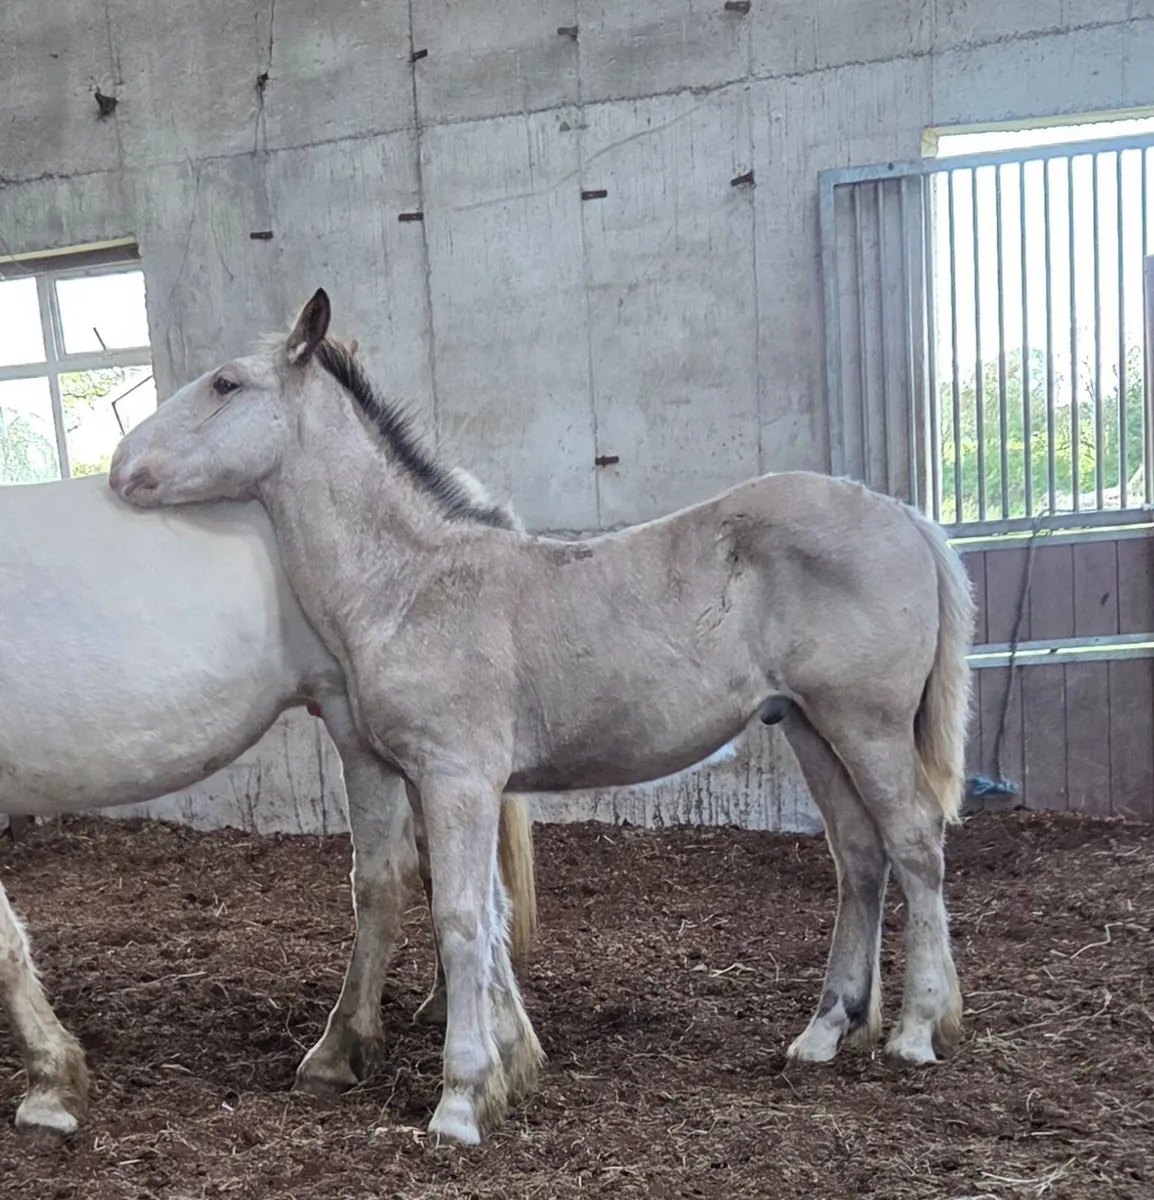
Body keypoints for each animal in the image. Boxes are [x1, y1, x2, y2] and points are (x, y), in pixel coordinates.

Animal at [109, 288, 976, 1146]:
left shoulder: (457, 775)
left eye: (226, 383)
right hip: (808, 726)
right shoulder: (428, 777)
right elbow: (481, 910)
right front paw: (510, 1065)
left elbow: (460, 917)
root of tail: (905, 516)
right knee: (859, 856)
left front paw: (461, 1099)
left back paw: (917, 1029)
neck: (411, 584)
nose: (120, 469)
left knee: (914, 844)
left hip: (866, 724)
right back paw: (825, 1031)